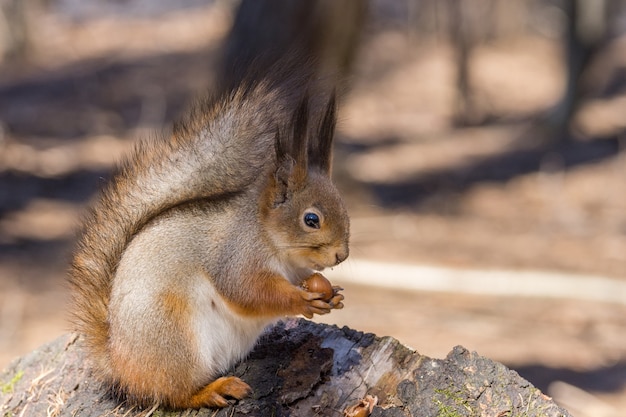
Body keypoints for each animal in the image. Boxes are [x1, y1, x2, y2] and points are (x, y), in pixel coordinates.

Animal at [68, 67, 352, 406]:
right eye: (311, 219)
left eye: (345, 208)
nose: (342, 255)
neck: (275, 243)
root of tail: (119, 363)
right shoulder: (237, 255)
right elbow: (247, 290)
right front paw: (302, 299)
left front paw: (332, 294)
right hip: (173, 337)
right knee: (173, 393)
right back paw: (212, 390)